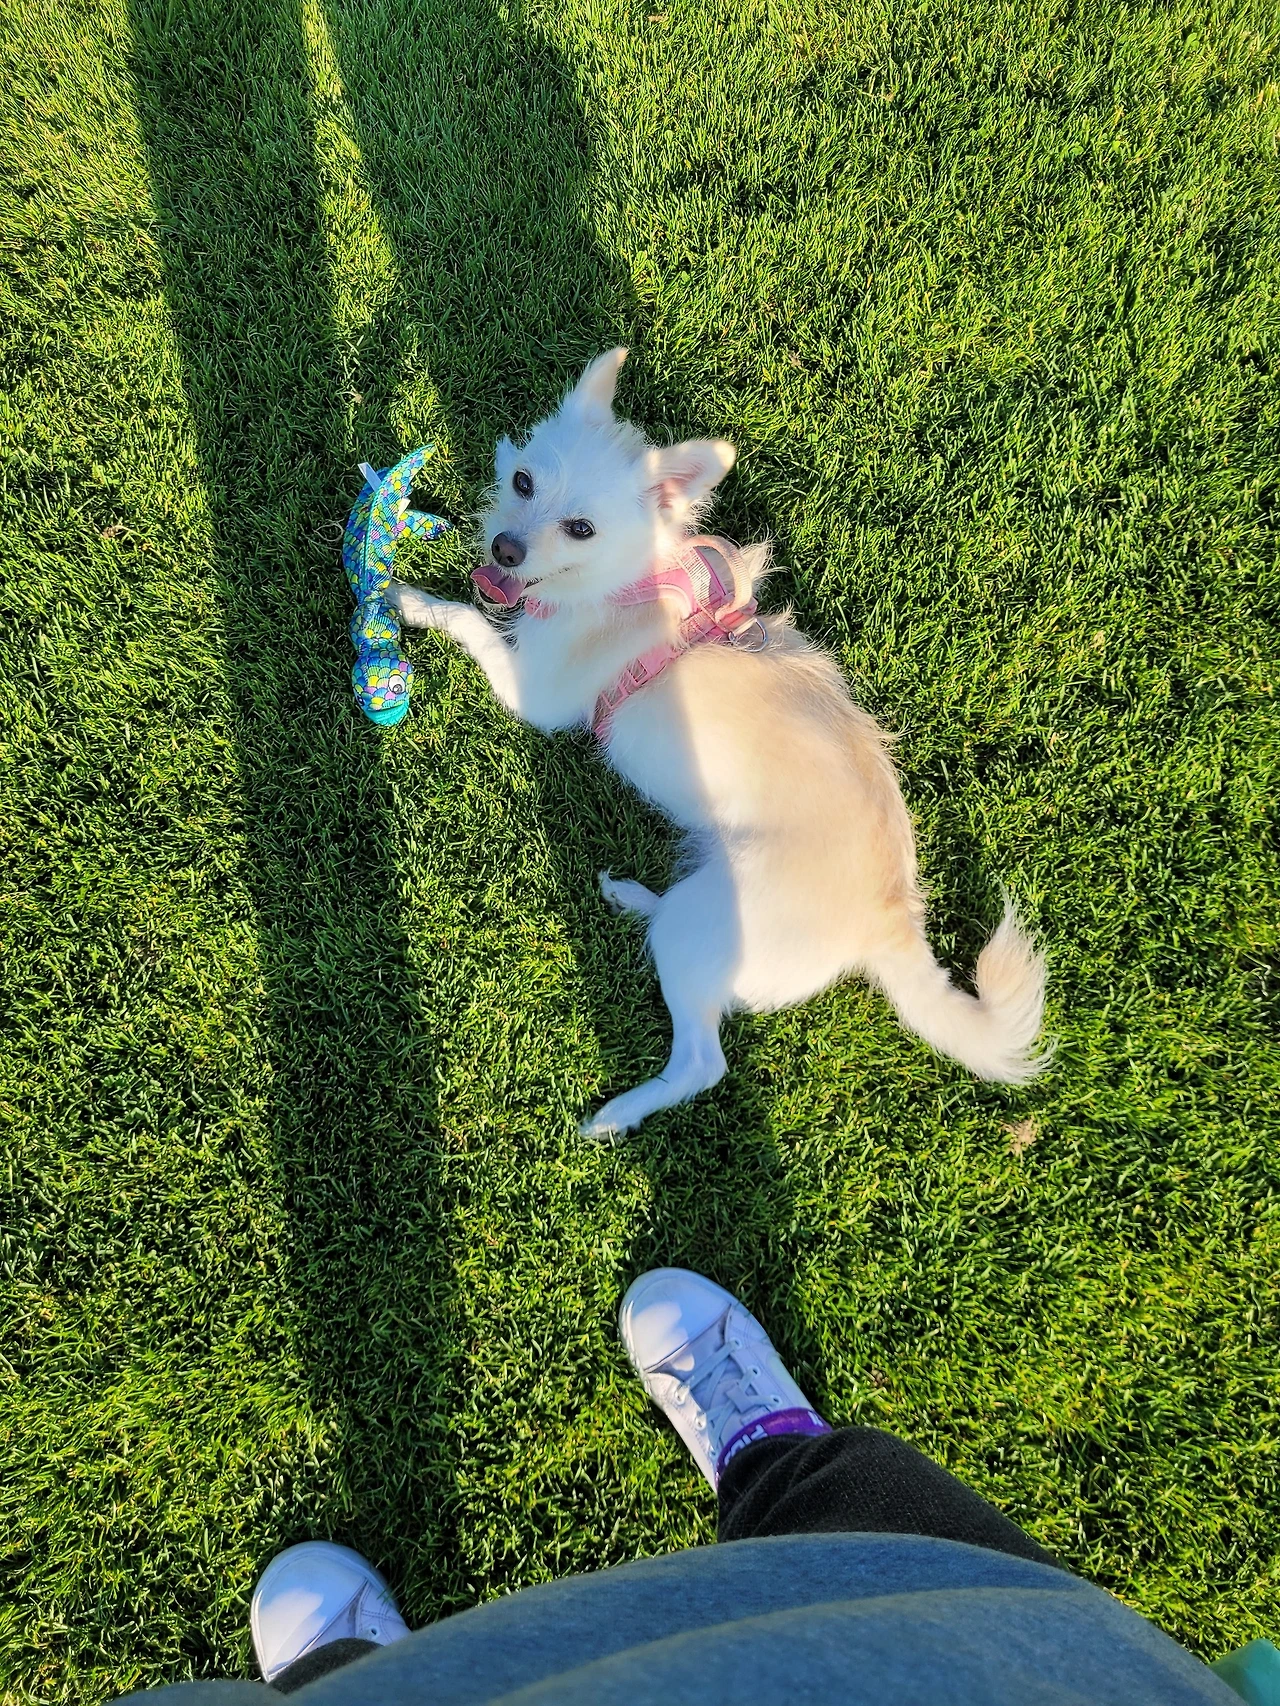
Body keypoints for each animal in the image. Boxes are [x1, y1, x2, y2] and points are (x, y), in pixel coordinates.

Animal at [388, 349, 1048, 1135]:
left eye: (580, 529)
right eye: (522, 483)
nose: (504, 547)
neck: (628, 582)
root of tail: (889, 923)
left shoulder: (534, 693)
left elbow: (473, 622)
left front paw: (414, 603)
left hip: (703, 936)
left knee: (702, 1061)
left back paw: (618, 1113)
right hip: (700, 914)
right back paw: (636, 898)